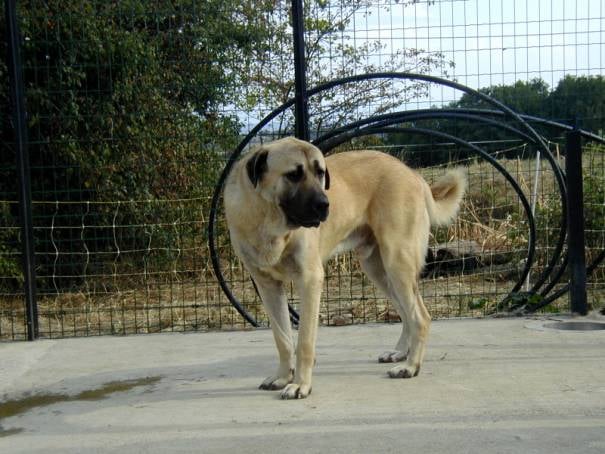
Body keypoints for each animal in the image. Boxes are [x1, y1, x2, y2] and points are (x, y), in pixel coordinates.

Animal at [224, 137, 466, 399]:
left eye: (320, 173)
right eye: (293, 175)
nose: (324, 205)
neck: (269, 222)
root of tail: (413, 174)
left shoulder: (310, 280)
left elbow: (304, 342)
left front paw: (300, 384)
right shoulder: (267, 286)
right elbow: (283, 339)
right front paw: (282, 377)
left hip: (397, 261)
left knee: (420, 316)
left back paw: (411, 366)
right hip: (378, 269)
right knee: (406, 312)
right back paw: (401, 353)